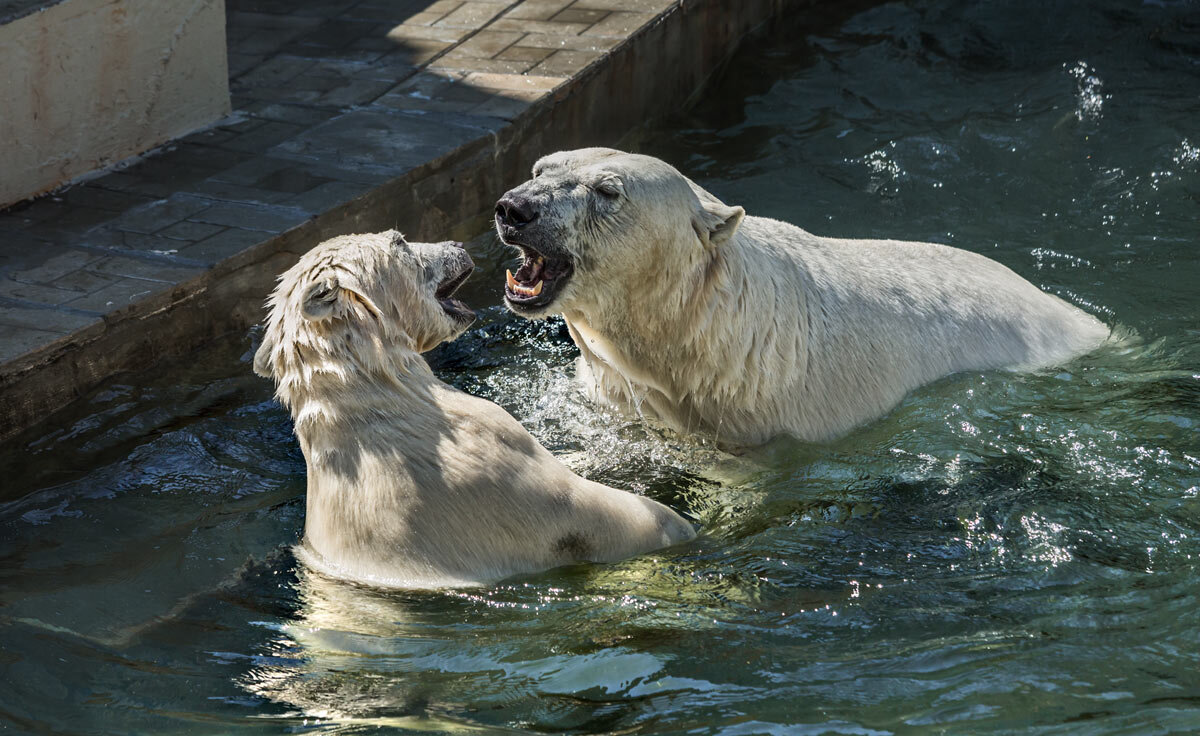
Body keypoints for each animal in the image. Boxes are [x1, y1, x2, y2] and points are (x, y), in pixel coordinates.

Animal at [253, 229, 696, 585]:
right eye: (399, 241)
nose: (459, 246)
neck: (373, 395)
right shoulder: (488, 461)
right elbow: (589, 509)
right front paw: (677, 524)